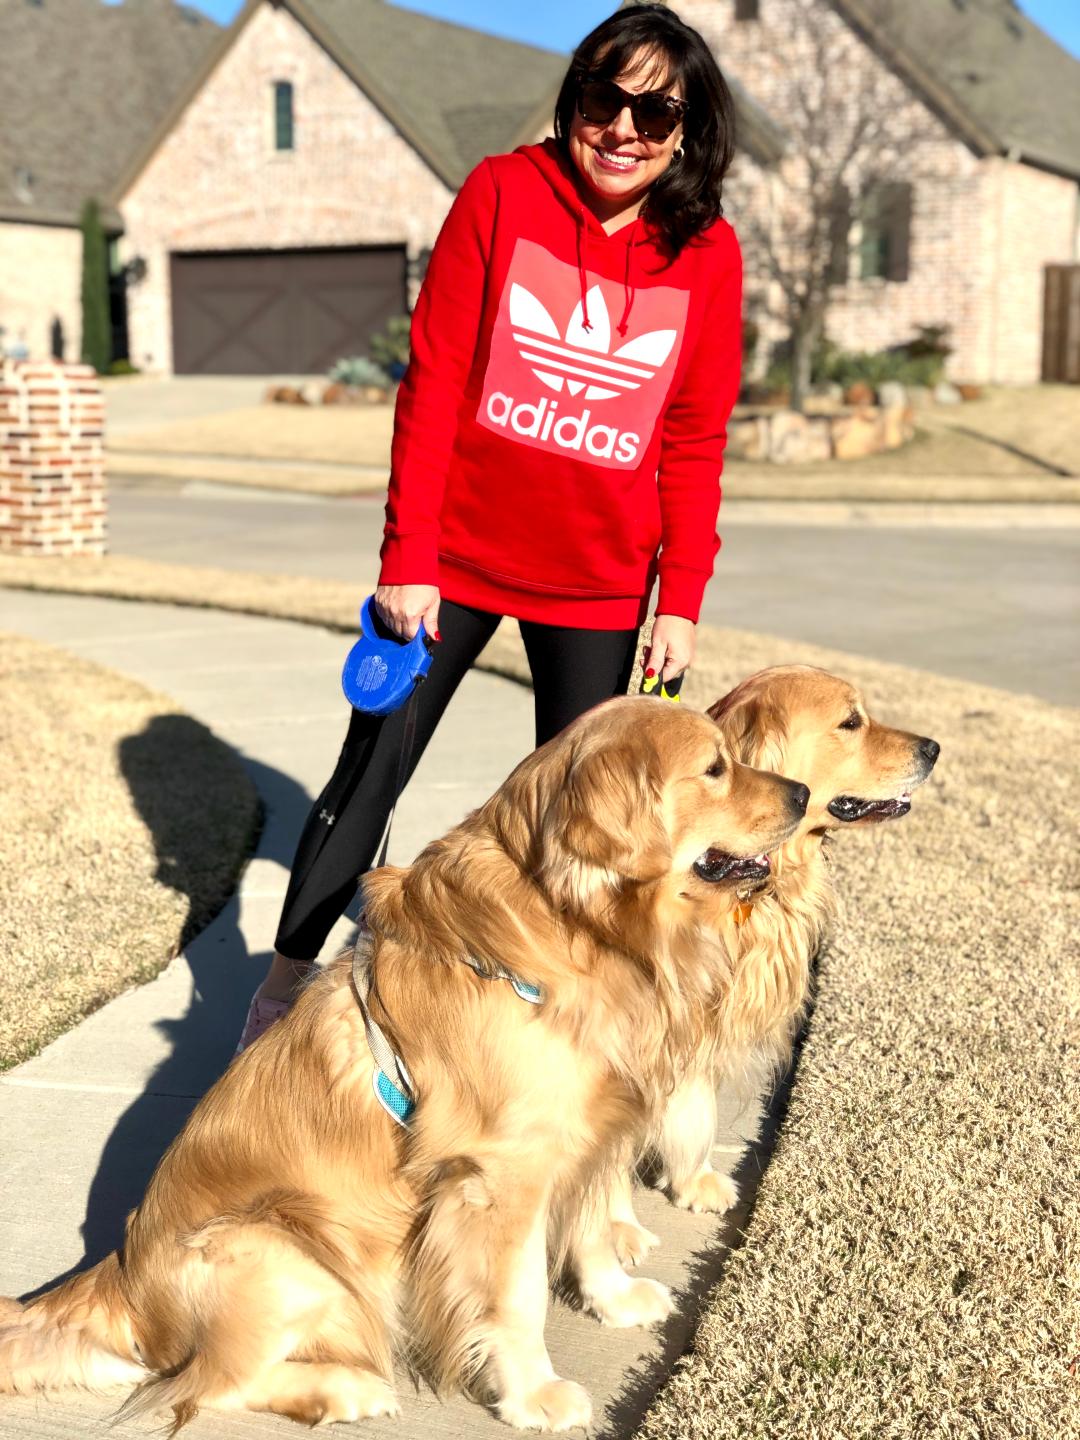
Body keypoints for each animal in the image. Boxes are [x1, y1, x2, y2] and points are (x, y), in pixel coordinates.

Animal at [0, 696, 808, 1433]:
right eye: (714, 768)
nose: (802, 794)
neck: (574, 928)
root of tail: (120, 1277)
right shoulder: (501, 1175)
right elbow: (518, 1297)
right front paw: (534, 1395)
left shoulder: (593, 1133)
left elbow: (590, 1228)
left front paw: (613, 1298)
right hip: (281, 1250)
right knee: (209, 1387)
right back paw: (345, 1390)